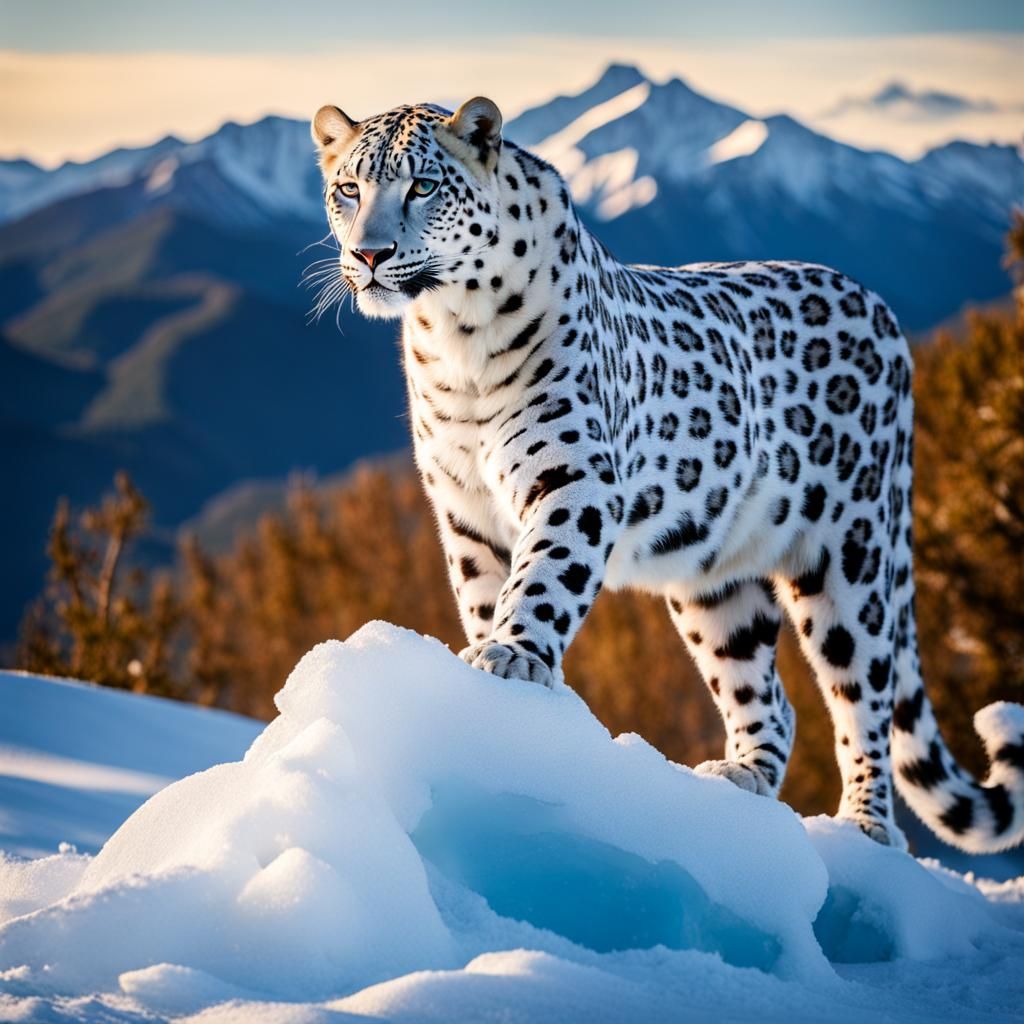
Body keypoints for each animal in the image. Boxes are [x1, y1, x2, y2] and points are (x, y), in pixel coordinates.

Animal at [309, 95, 1024, 853]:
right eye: (348, 189)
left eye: (423, 186)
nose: (369, 254)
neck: (451, 335)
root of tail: (882, 312)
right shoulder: (465, 509)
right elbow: (484, 592)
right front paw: (494, 685)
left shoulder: (574, 479)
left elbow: (542, 578)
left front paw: (513, 656)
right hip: (718, 583)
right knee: (769, 696)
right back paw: (738, 781)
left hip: (849, 558)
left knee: (864, 694)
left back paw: (864, 823)